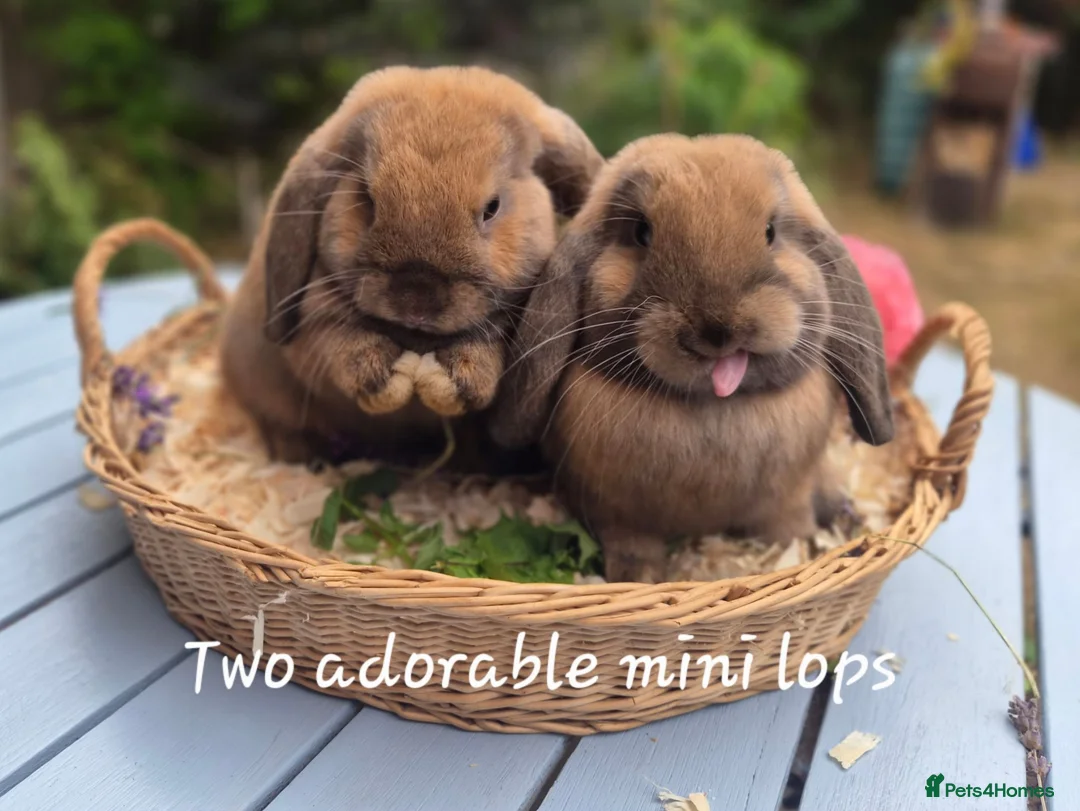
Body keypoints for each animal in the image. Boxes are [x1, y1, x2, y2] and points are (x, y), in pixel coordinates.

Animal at [221, 65, 604, 468]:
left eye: (493, 207)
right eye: (367, 198)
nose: (417, 299)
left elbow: (484, 361)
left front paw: (452, 385)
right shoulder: (316, 324)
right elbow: (341, 349)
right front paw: (385, 380)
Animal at [489, 133, 894, 582]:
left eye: (771, 231)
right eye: (641, 232)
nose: (718, 330)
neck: (713, 403)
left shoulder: (787, 499)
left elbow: (787, 527)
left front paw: (801, 550)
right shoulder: (618, 514)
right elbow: (631, 542)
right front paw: (637, 577)